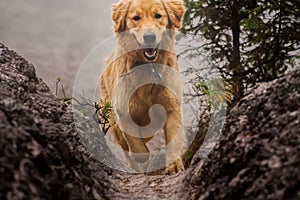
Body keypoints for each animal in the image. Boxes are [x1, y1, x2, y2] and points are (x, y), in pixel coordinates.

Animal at [99, 0, 186, 174]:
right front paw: (144, 156)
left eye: (158, 15)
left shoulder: (172, 106)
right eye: (136, 18)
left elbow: (173, 139)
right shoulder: (123, 111)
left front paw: (174, 166)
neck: (149, 68)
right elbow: (136, 146)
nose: (149, 37)